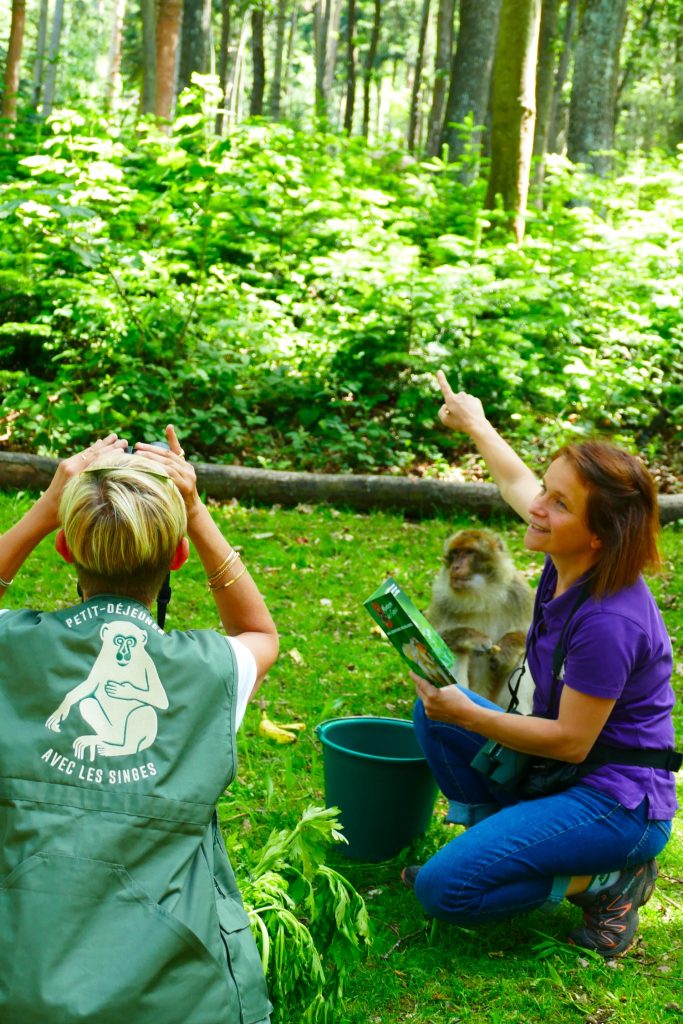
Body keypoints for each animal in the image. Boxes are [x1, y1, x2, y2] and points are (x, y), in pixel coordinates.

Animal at [428, 528, 532, 712]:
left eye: (469, 552)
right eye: (455, 553)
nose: (455, 566)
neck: (482, 595)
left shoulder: (520, 592)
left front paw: (506, 652)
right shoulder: (441, 597)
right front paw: (474, 638)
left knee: (524, 659)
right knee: (457, 650)